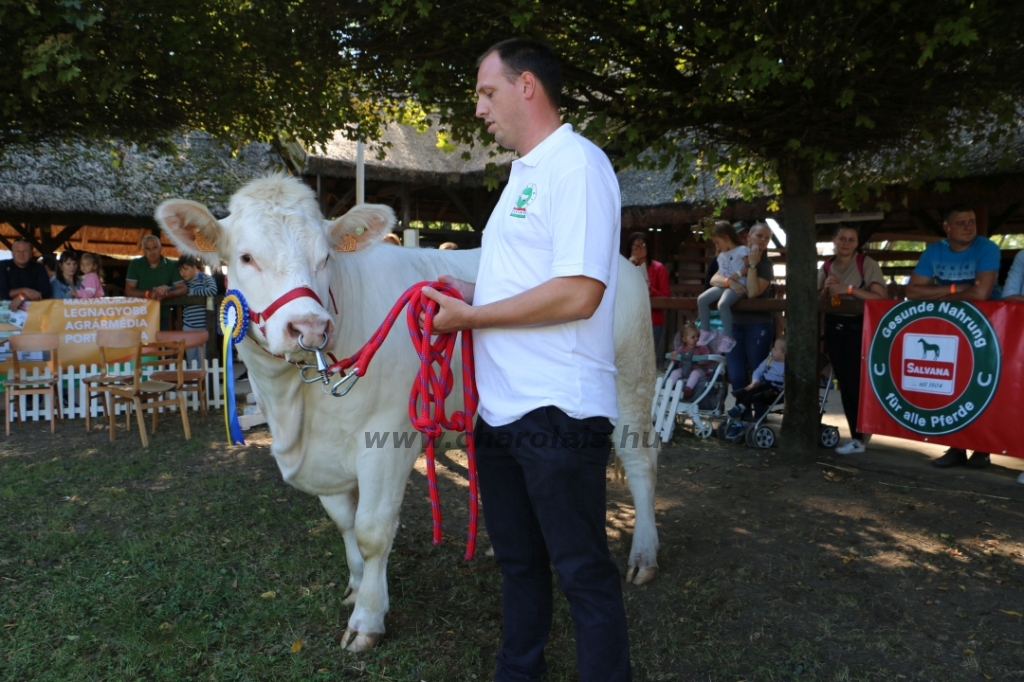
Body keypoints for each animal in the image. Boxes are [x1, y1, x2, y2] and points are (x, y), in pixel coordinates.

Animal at [156, 174, 659, 647]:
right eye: (245, 257)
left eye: (325, 258)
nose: (311, 328)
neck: (298, 412)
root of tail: (622, 261)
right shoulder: (324, 459)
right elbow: (343, 522)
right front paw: (357, 586)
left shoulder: (387, 440)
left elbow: (372, 530)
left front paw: (368, 619)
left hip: (633, 379)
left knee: (641, 463)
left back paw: (644, 556)